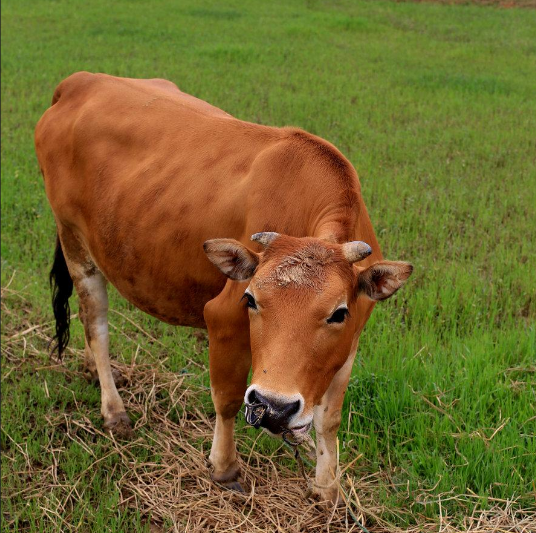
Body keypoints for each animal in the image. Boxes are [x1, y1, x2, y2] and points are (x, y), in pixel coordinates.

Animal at [34, 72, 414, 504]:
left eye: (339, 313)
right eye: (251, 299)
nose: (274, 407)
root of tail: (81, 81)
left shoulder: (350, 343)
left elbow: (329, 419)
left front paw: (327, 488)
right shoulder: (223, 318)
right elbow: (229, 398)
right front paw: (224, 467)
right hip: (75, 242)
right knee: (95, 321)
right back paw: (114, 410)